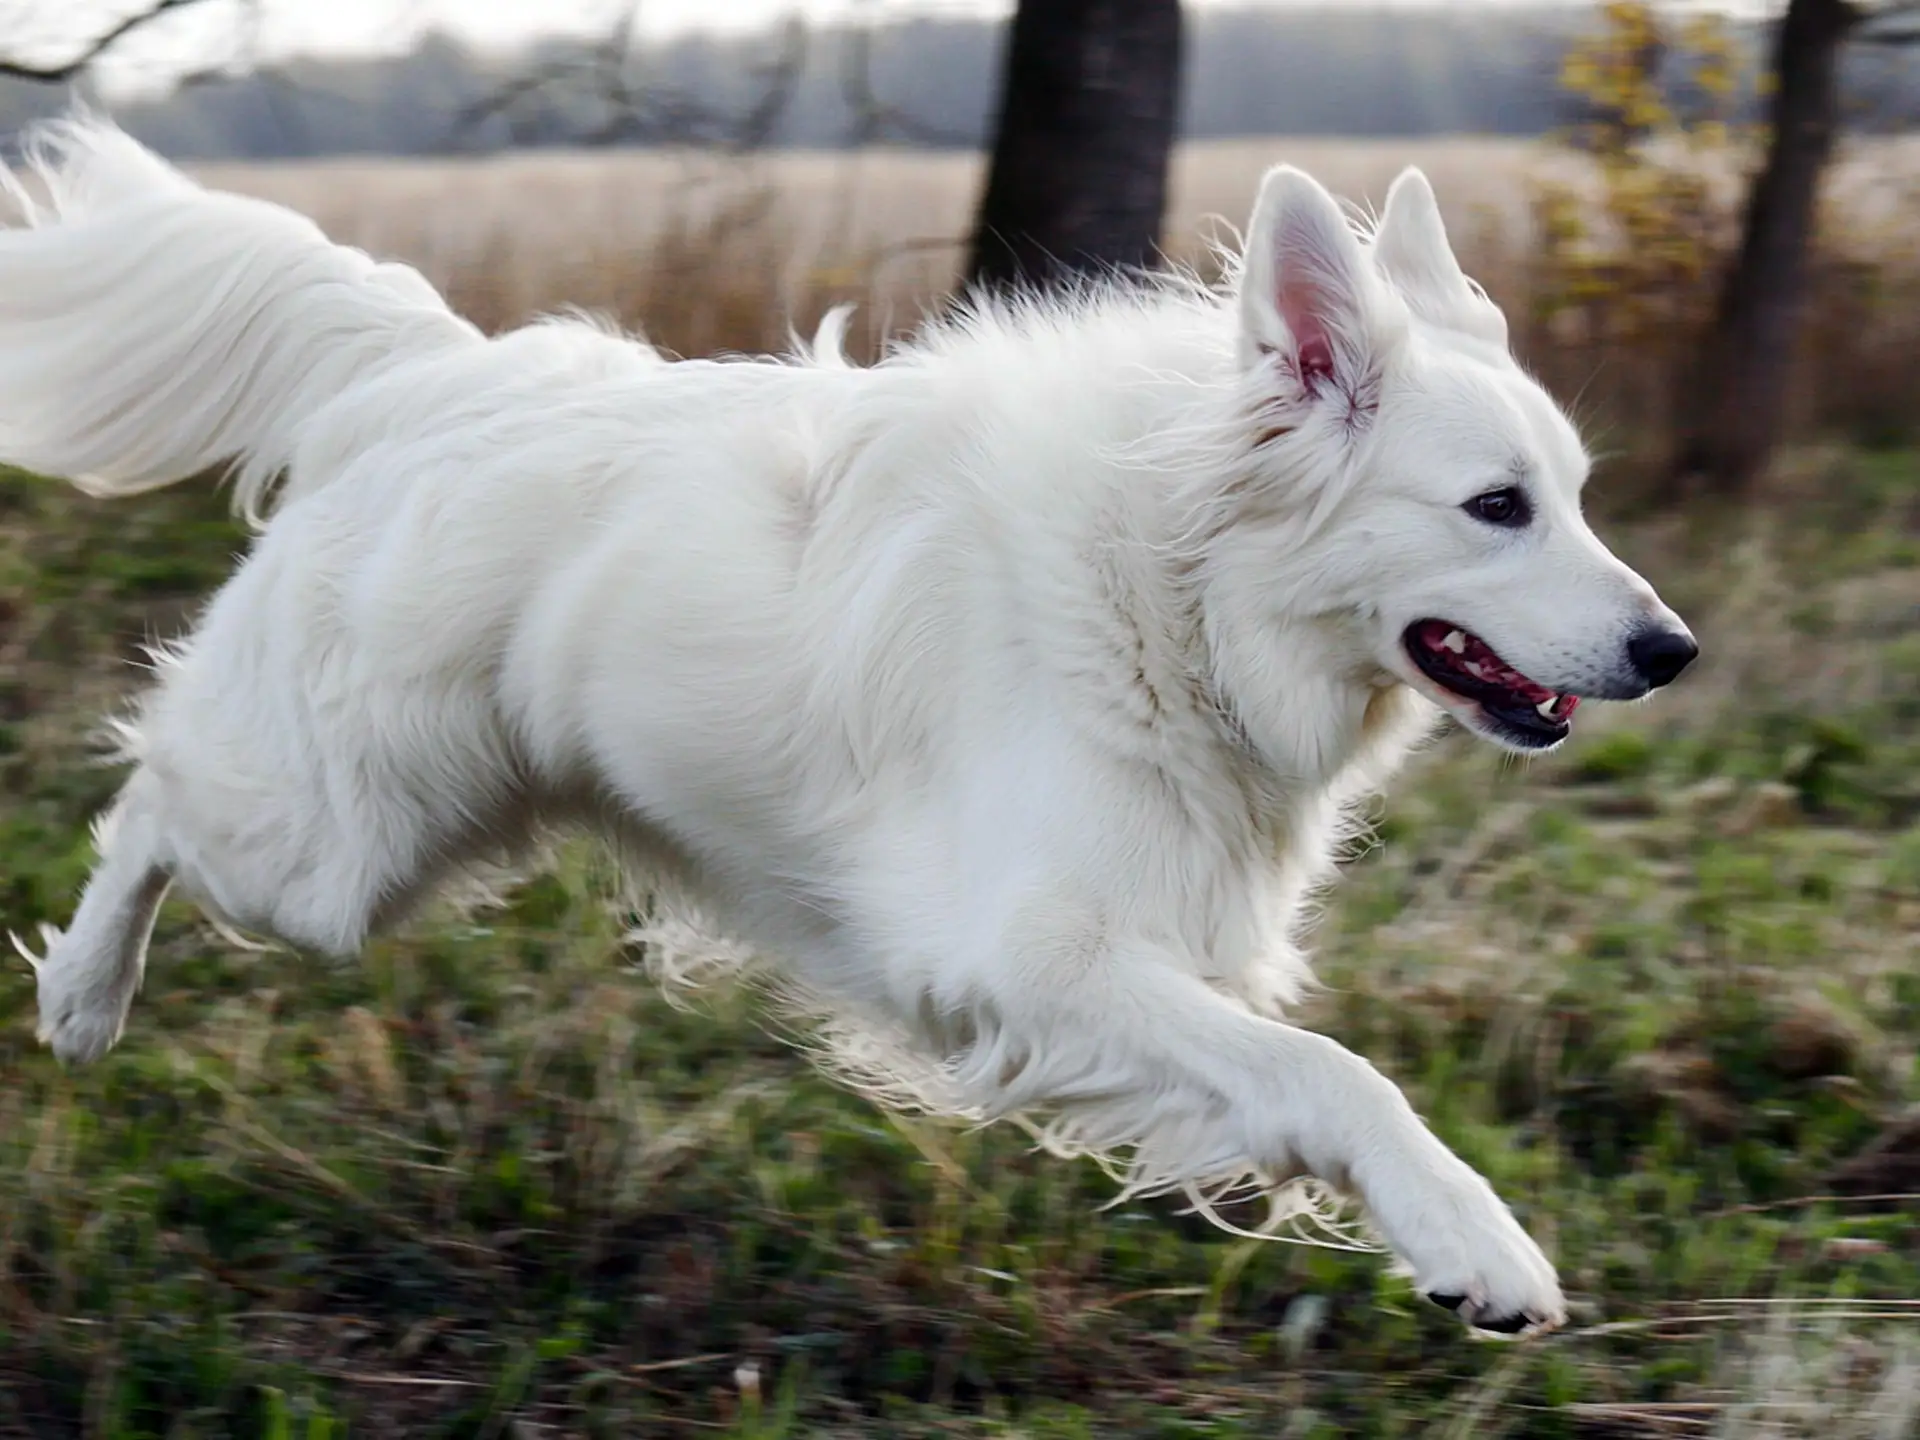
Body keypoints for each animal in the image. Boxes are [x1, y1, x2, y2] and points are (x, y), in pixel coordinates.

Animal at [3, 121, 1697, 1344]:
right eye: (1496, 507)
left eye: (1576, 496)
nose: (1670, 651)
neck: (1180, 588)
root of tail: (433, 368)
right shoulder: (1030, 956)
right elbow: (1339, 1076)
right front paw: (1474, 1240)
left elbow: (1283, 1084)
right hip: (331, 857)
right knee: (148, 801)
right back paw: (83, 1000)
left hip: (387, 850)